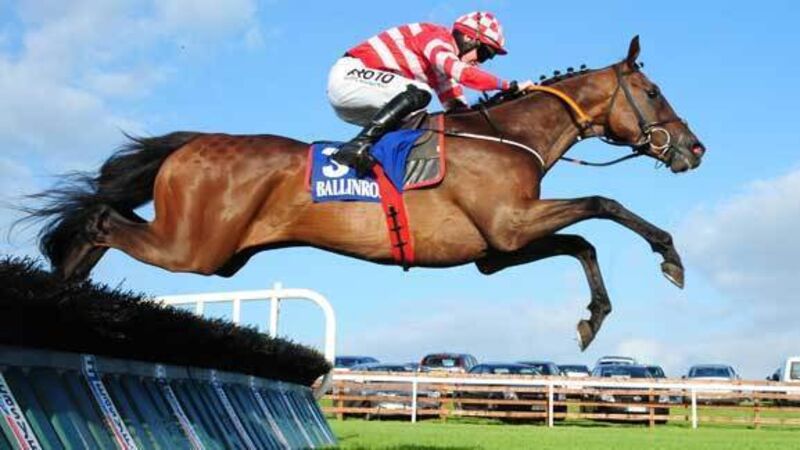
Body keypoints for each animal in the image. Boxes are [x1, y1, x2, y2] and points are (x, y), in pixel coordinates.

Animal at [23, 36, 705, 350]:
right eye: (653, 93)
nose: (694, 148)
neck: (505, 136)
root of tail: (188, 144)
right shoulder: (511, 223)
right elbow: (604, 207)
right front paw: (670, 256)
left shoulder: (496, 249)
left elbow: (584, 242)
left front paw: (592, 319)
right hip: (193, 248)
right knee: (101, 221)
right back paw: (60, 291)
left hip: (211, 254)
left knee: (100, 221)